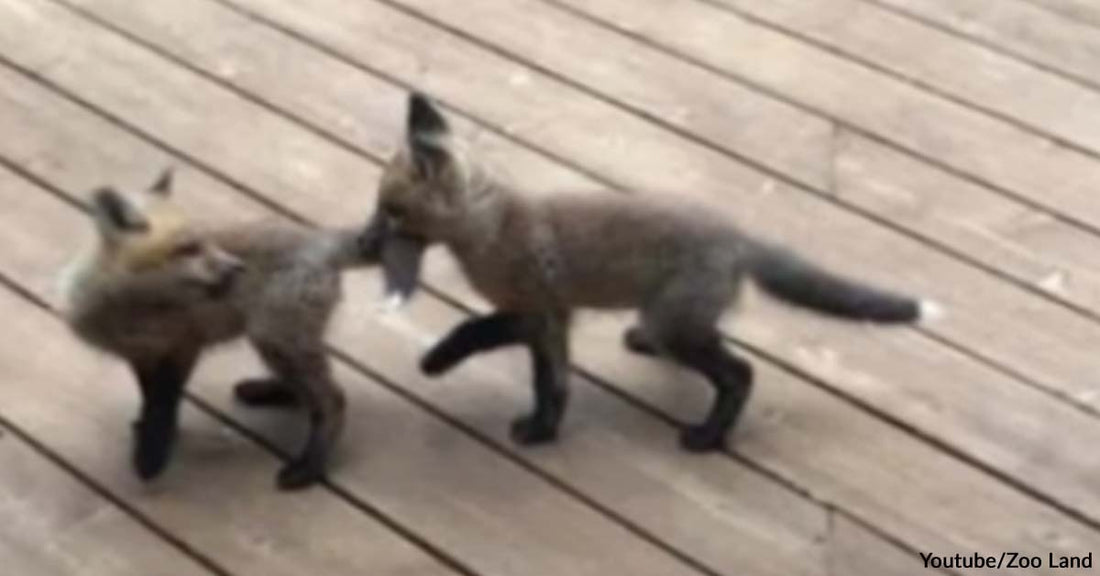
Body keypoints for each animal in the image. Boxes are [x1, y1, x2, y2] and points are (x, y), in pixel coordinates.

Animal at [59, 169, 380, 489]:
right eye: (188, 249)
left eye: (207, 242)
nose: (238, 267)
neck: (129, 310)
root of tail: (317, 237)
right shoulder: (141, 354)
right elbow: (149, 395)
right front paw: (148, 429)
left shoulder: (183, 346)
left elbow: (163, 403)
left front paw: (153, 453)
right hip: (279, 342)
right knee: (307, 387)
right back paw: (269, 390)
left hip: (275, 337)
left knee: (333, 399)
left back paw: (310, 465)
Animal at [368, 92, 941, 451]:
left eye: (392, 211)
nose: (367, 239)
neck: (495, 229)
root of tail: (737, 237)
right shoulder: (548, 323)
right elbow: (549, 382)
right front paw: (543, 427)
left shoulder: (538, 312)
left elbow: (479, 333)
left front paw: (440, 363)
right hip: (675, 321)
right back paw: (645, 345)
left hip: (677, 328)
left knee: (740, 374)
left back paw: (708, 438)